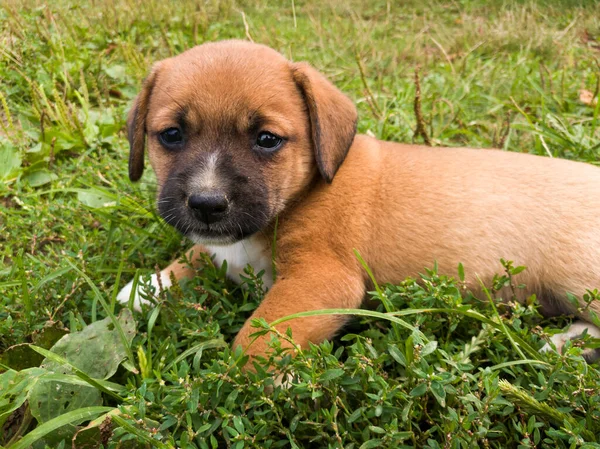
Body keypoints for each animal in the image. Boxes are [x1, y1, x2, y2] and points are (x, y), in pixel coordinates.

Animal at [117, 38, 600, 360]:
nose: (206, 203)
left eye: (267, 140)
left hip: (580, 278)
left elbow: (257, 339)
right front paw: (142, 291)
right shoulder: (221, 250)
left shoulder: (321, 281)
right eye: (172, 135)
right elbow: (194, 257)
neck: (304, 192)